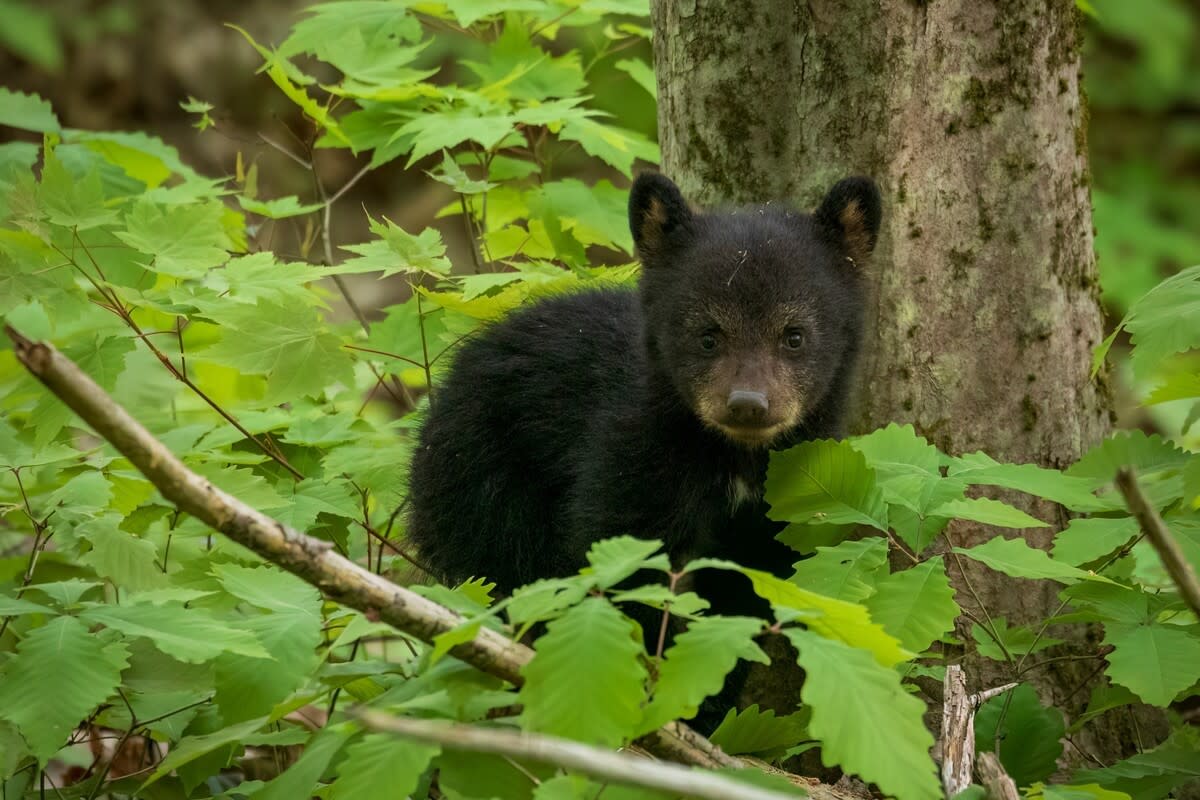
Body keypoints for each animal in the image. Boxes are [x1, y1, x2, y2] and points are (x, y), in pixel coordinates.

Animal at [406, 172, 881, 731]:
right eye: (707, 335)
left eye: (795, 335)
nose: (748, 404)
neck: (732, 457)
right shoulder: (633, 454)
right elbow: (623, 562)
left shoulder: (779, 498)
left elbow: (745, 590)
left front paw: (705, 701)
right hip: (481, 480)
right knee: (504, 568)